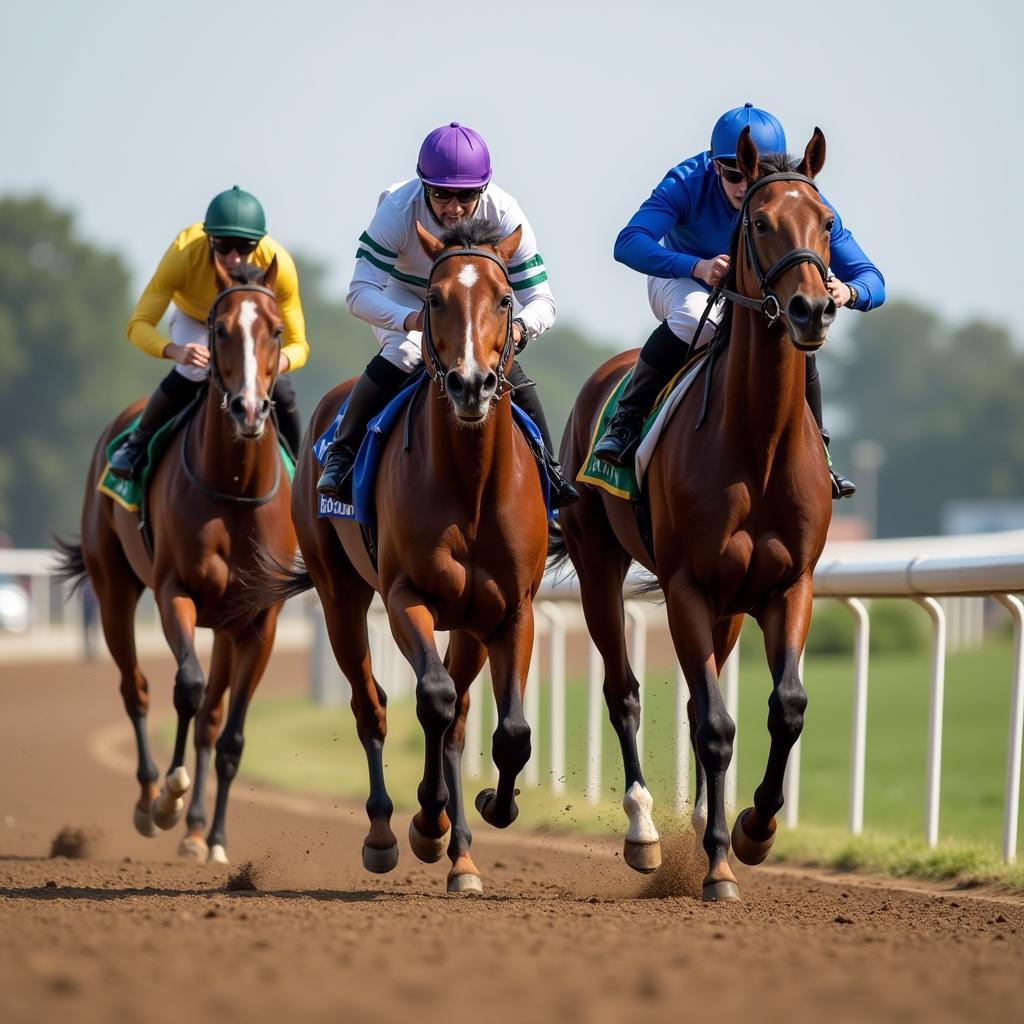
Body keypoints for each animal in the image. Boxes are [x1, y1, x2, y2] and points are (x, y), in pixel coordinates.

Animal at [54, 256, 296, 864]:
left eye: (276, 330)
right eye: (221, 330)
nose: (249, 408)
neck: (233, 487)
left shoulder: (259, 622)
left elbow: (230, 734)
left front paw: (214, 837)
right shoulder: (174, 592)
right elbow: (185, 686)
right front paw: (169, 795)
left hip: (228, 627)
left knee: (211, 719)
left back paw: (198, 832)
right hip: (113, 589)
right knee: (135, 688)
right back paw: (149, 801)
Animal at [260, 218, 552, 897]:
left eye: (505, 299)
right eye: (436, 299)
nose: (471, 384)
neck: (471, 485)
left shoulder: (512, 609)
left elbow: (509, 730)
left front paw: (493, 807)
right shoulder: (403, 597)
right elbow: (432, 699)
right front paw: (428, 819)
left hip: (469, 622)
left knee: (461, 718)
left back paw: (461, 853)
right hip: (340, 596)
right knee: (374, 706)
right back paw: (388, 833)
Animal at [557, 130, 835, 905]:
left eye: (828, 223)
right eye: (761, 223)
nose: (812, 309)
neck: (758, 441)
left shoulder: (787, 584)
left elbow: (787, 706)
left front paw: (753, 830)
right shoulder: (685, 583)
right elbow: (713, 723)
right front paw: (715, 865)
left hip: (731, 606)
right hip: (599, 565)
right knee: (623, 692)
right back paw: (645, 832)